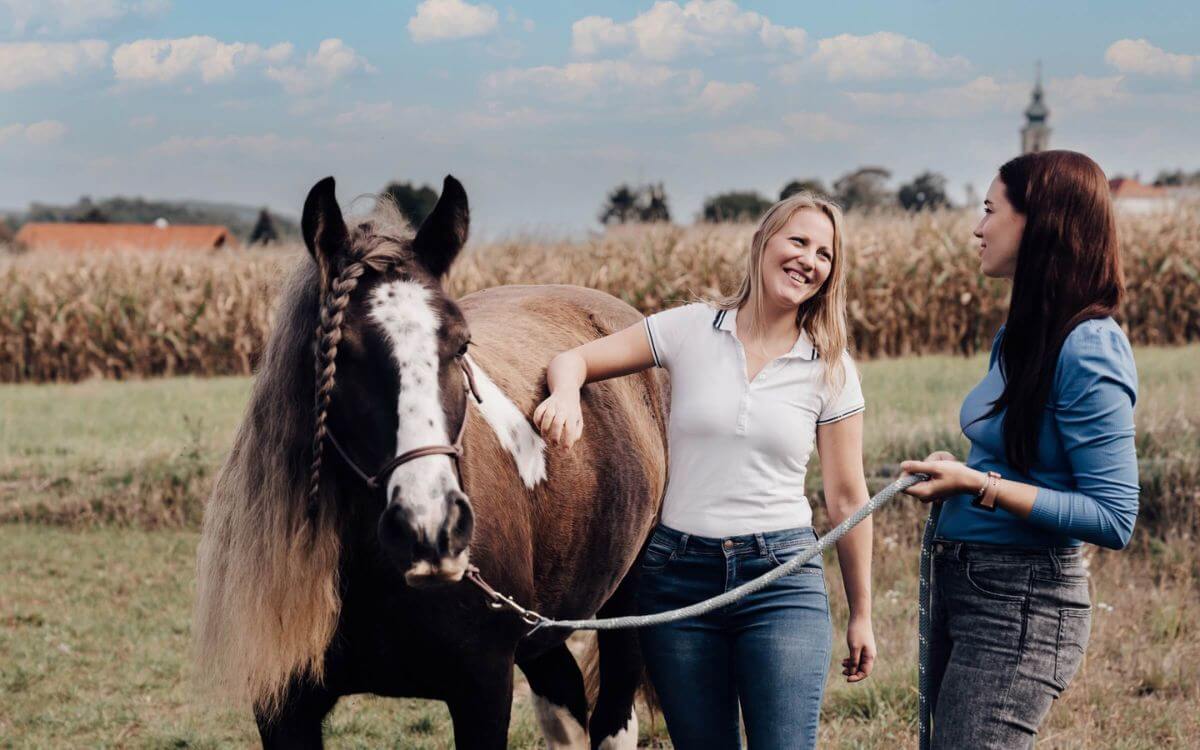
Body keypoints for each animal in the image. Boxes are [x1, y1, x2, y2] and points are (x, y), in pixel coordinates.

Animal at [192, 172, 672, 744]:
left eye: (461, 346)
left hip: (627, 603)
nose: (430, 528)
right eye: (340, 354)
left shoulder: (483, 688)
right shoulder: (283, 708)